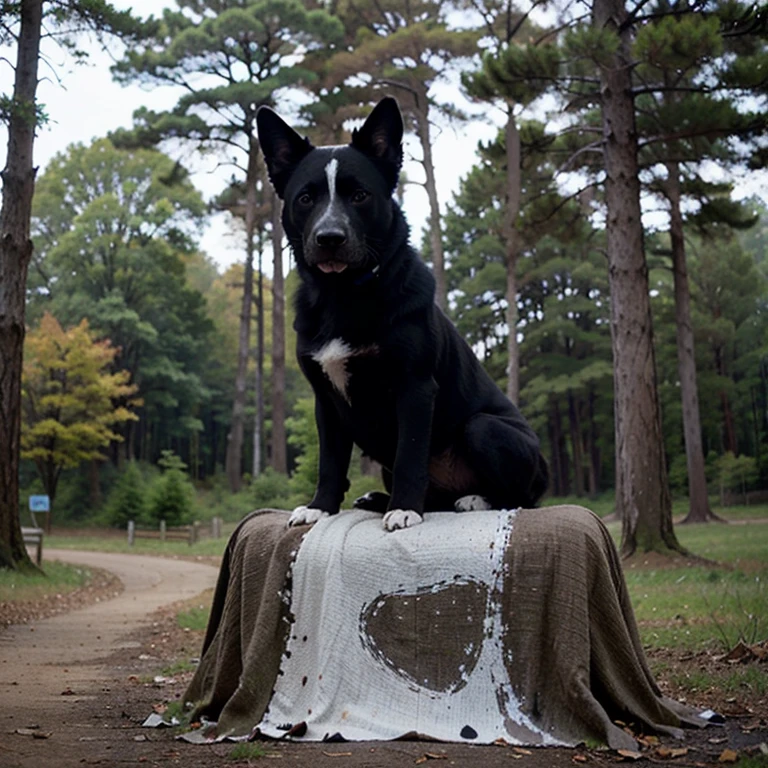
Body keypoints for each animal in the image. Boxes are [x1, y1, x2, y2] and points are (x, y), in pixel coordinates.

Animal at [255, 96, 548, 532]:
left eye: (360, 195)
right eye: (305, 198)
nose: (329, 238)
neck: (344, 295)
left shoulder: (414, 386)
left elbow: (410, 454)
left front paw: (405, 509)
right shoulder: (325, 401)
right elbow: (329, 461)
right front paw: (320, 507)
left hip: (486, 430)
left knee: (521, 499)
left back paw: (473, 499)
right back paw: (380, 497)